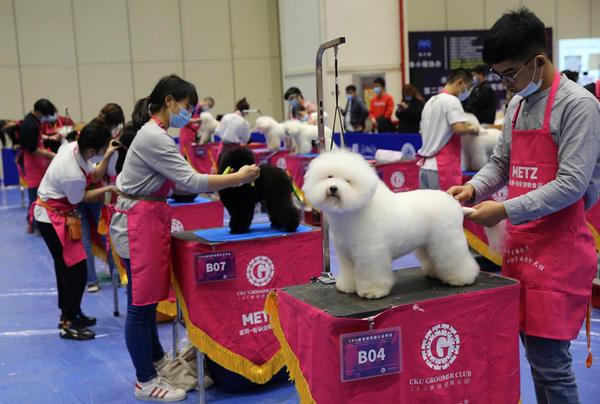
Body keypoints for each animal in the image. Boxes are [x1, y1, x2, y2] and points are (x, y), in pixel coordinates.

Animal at [302, 150, 480, 298]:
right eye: (330, 176)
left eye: (348, 181)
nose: (333, 188)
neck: (353, 212)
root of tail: (454, 202)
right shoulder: (346, 254)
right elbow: (348, 272)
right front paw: (347, 287)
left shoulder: (370, 253)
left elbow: (371, 273)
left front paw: (372, 292)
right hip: (428, 242)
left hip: (447, 239)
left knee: (456, 258)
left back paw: (462, 278)